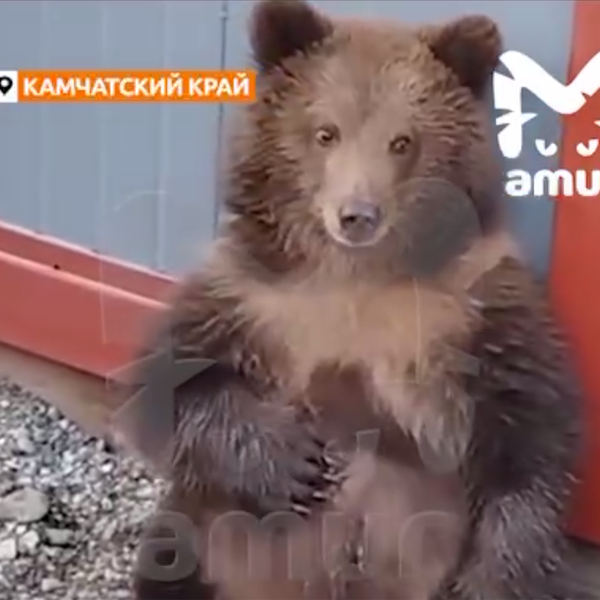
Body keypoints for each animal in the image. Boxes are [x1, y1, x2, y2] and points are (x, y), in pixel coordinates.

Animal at [115, 1, 584, 600]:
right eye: (326, 132)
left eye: (403, 141)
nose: (357, 214)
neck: (357, 277)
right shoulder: (249, 297)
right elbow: (173, 383)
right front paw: (296, 464)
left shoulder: (475, 311)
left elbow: (528, 435)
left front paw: (493, 576)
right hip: (209, 535)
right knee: (171, 550)